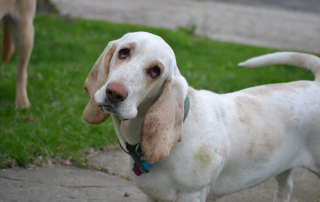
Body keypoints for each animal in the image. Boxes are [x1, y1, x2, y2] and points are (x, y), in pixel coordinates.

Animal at [82, 32, 320, 201]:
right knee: (285, 188)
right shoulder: (153, 197)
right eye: (123, 52)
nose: (114, 93)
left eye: (155, 71)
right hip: (283, 168)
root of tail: (316, 84)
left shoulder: (191, 195)